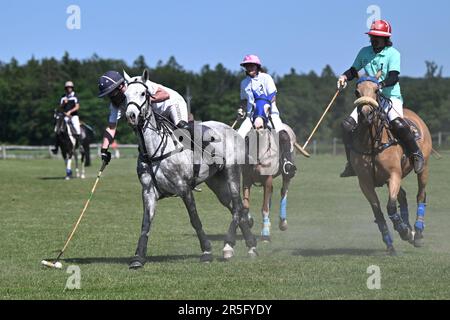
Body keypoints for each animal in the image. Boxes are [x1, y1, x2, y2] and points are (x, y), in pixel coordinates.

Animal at [241, 99, 298, 241]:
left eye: (268, 108)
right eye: (253, 106)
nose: (258, 126)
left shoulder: (267, 179)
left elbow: (265, 207)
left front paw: (265, 232)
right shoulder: (246, 178)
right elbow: (245, 205)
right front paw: (249, 221)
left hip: (287, 173)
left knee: (283, 191)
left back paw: (282, 222)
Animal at [350, 76, 430, 254]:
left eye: (376, 90)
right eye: (357, 92)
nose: (366, 114)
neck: (371, 142)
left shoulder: (394, 175)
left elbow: (391, 207)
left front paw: (404, 231)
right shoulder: (365, 183)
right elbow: (378, 212)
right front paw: (390, 242)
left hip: (424, 167)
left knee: (421, 195)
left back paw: (417, 233)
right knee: (403, 195)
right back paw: (410, 229)